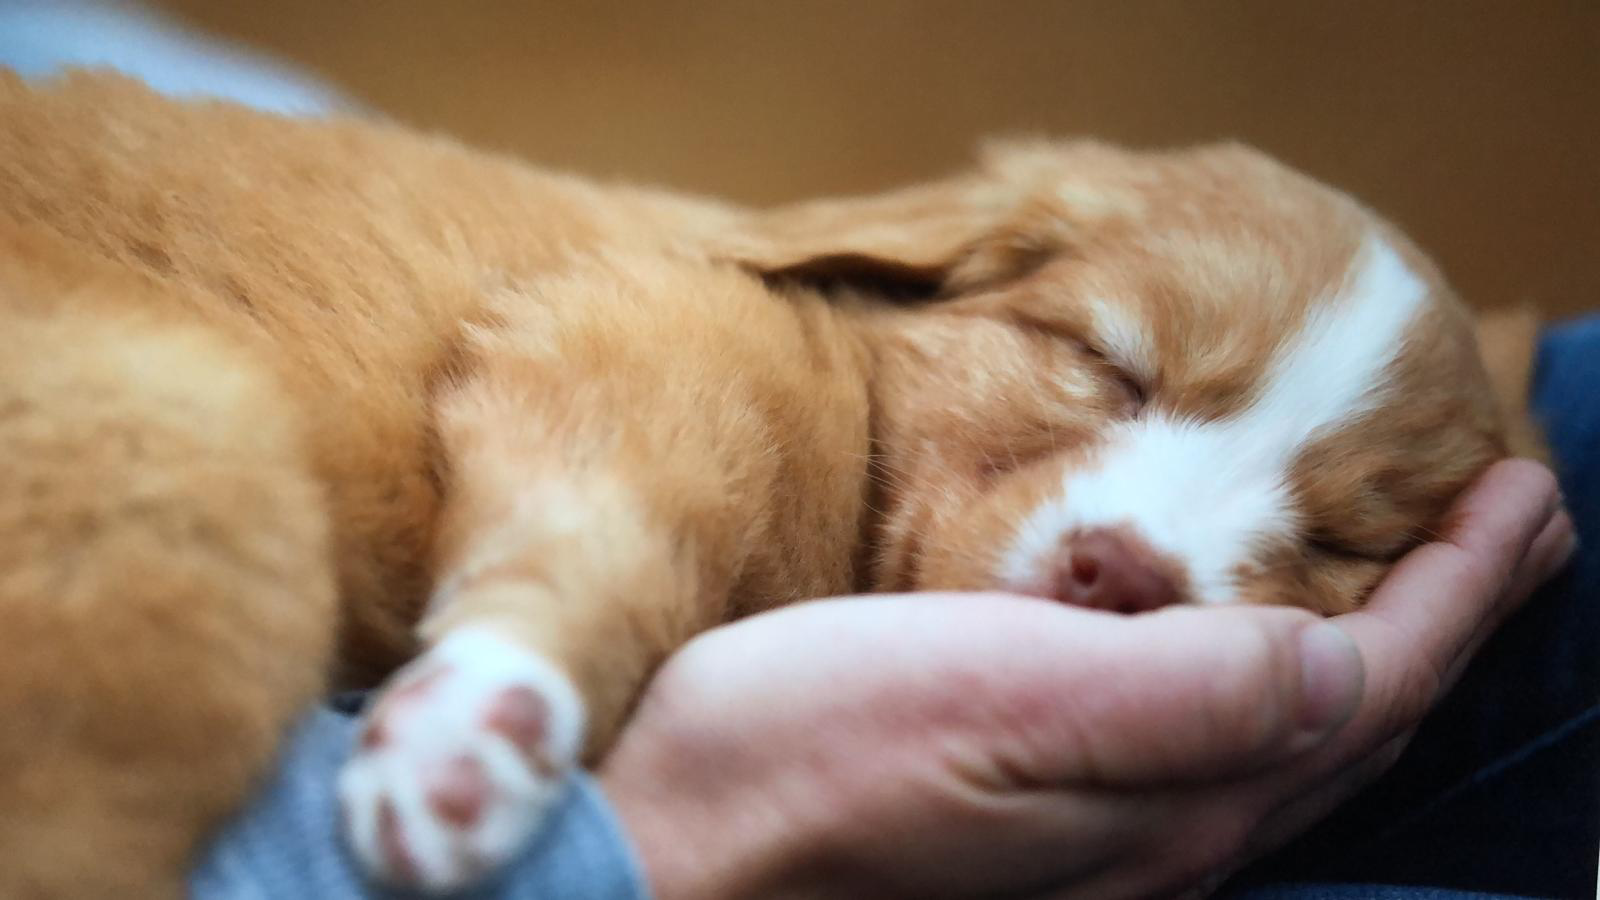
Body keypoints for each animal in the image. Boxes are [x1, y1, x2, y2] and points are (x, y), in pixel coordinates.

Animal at [0, 71, 1537, 894]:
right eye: (1106, 365)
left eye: (1343, 539)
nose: (1127, 574)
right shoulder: (651, 346)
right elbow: (610, 547)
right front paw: (476, 740)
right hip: (187, 459)